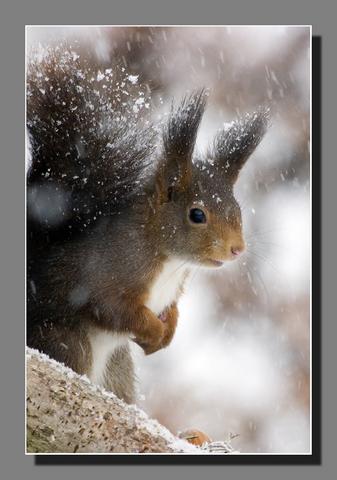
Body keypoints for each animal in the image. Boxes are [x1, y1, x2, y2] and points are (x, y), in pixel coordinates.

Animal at [26, 47, 268, 404]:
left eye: (237, 208)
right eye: (197, 215)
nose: (237, 249)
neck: (168, 258)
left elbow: (173, 310)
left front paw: (167, 332)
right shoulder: (107, 272)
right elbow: (114, 308)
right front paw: (153, 330)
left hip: (118, 369)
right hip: (66, 342)